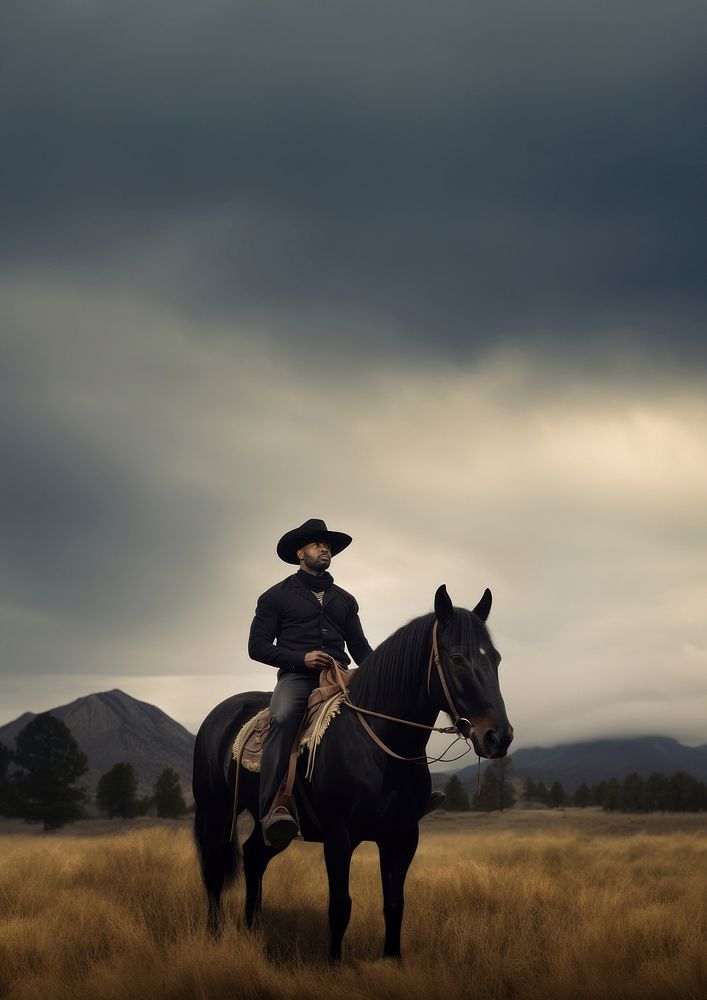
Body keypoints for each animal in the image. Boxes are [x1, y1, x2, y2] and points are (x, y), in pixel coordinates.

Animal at [192, 584, 516, 960]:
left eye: (496, 658)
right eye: (457, 658)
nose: (498, 736)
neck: (380, 747)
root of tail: (218, 714)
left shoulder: (403, 835)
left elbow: (394, 904)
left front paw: (392, 959)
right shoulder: (338, 835)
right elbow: (340, 907)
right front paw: (334, 963)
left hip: (272, 827)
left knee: (254, 856)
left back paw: (253, 930)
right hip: (214, 811)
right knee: (214, 870)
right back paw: (215, 935)